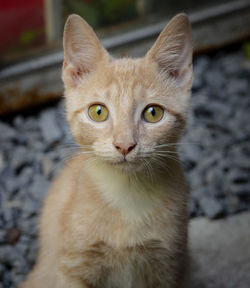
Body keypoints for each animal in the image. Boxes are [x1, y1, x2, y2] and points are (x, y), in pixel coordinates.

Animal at [21, 11, 193, 288]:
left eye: (153, 113)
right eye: (98, 112)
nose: (124, 145)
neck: (128, 195)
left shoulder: (170, 265)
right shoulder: (73, 268)